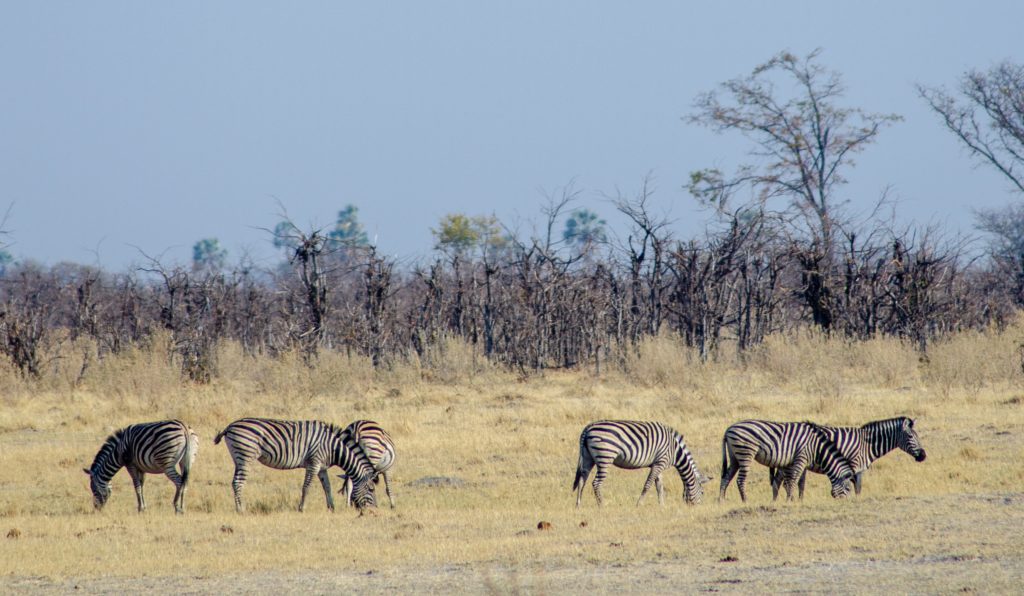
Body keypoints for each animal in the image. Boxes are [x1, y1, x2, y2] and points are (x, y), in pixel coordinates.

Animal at [213, 417, 378, 513]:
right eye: (371, 489)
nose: (374, 510)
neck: (333, 447)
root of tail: (230, 426)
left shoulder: (321, 467)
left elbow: (327, 486)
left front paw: (331, 508)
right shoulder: (314, 463)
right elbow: (306, 486)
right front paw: (302, 508)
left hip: (238, 458)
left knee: (235, 481)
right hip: (246, 456)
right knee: (238, 482)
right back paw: (241, 509)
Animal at [572, 420, 709, 508]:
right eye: (702, 492)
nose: (698, 508)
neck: (675, 451)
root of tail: (588, 428)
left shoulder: (657, 463)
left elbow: (659, 486)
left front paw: (662, 505)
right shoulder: (660, 462)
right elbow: (648, 484)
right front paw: (639, 504)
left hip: (588, 458)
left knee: (582, 480)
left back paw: (578, 505)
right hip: (605, 456)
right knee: (596, 483)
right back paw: (602, 505)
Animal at [719, 420, 856, 502]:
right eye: (848, 489)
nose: (847, 503)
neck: (817, 447)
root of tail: (728, 429)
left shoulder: (792, 462)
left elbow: (793, 482)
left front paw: (792, 499)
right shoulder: (801, 458)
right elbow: (793, 481)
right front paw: (789, 500)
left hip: (735, 457)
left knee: (726, 477)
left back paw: (721, 500)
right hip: (745, 453)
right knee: (740, 480)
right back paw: (745, 500)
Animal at [768, 416, 927, 500]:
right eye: (911, 436)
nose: (923, 456)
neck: (866, 444)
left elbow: (857, 487)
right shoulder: (855, 466)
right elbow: (857, 487)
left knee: (778, 482)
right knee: (779, 482)